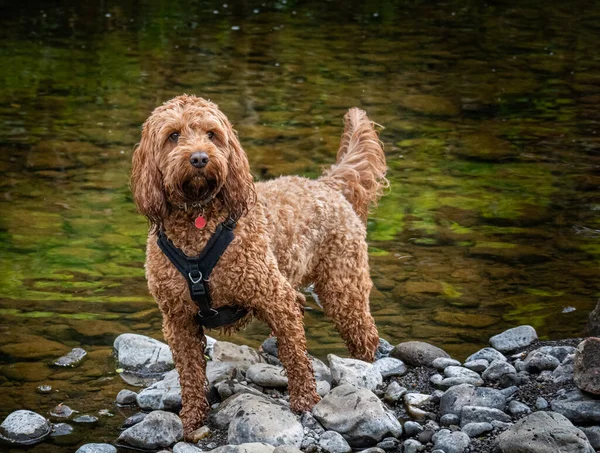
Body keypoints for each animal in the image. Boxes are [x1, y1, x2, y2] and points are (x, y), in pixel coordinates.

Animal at [131, 94, 390, 434]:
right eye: (173, 135)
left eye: (212, 134)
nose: (200, 158)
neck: (198, 222)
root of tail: (327, 184)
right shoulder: (178, 320)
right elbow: (189, 374)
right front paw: (192, 418)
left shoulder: (274, 297)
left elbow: (295, 356)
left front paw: (306, 401)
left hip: (342, 286)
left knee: (364, 333)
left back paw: (364, 366)